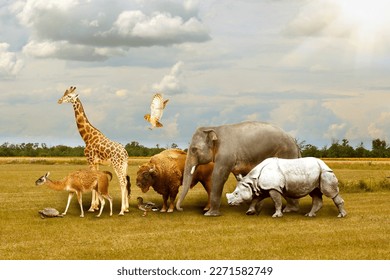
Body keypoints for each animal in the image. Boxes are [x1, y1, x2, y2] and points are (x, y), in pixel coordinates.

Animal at [58, 86, 130, 215]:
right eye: (64, 94)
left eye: (69, 96)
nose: (59, 100)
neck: (87, 137)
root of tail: (125, 153)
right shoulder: (96, 162)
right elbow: (95, 181)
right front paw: (96, 206)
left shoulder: (90, 159)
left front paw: (92, 207)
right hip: (124, 165)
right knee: (126, 182)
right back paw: (126, 208)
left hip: (117, 164)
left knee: (122, 182)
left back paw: (122, 210)